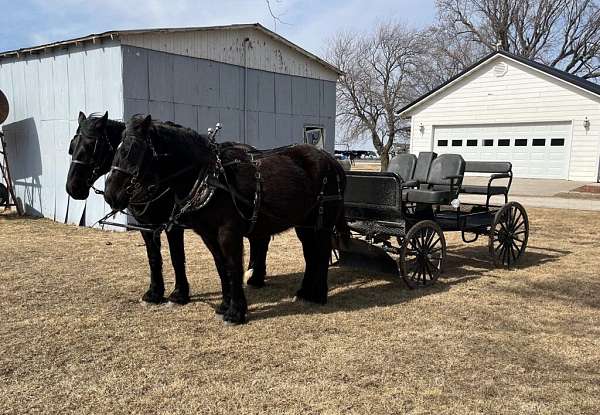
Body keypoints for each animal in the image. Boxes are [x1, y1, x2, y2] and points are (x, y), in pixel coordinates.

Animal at [65, 112, 270, 308]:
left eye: (92, 146)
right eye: (72, 146)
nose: (72, 188)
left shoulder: (173, 225)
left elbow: (176, 257)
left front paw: (179, 293)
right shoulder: (146, 225)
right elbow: (153, 257)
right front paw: (154, 293)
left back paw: (255, 276)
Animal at [103, 115, 346, 326]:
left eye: (131, 150)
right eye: (114, 149)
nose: (111, 194)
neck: (211, 178)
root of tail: (332, 161)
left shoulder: (228, 232)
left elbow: (233, 266)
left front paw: (236, 312)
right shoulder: (208, 234)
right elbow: (221, 267)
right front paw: (224, 305)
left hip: (323, 224)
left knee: (321, 254)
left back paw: (319, 295)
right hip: (304, 225)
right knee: (310, 255)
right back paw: (305, 293)